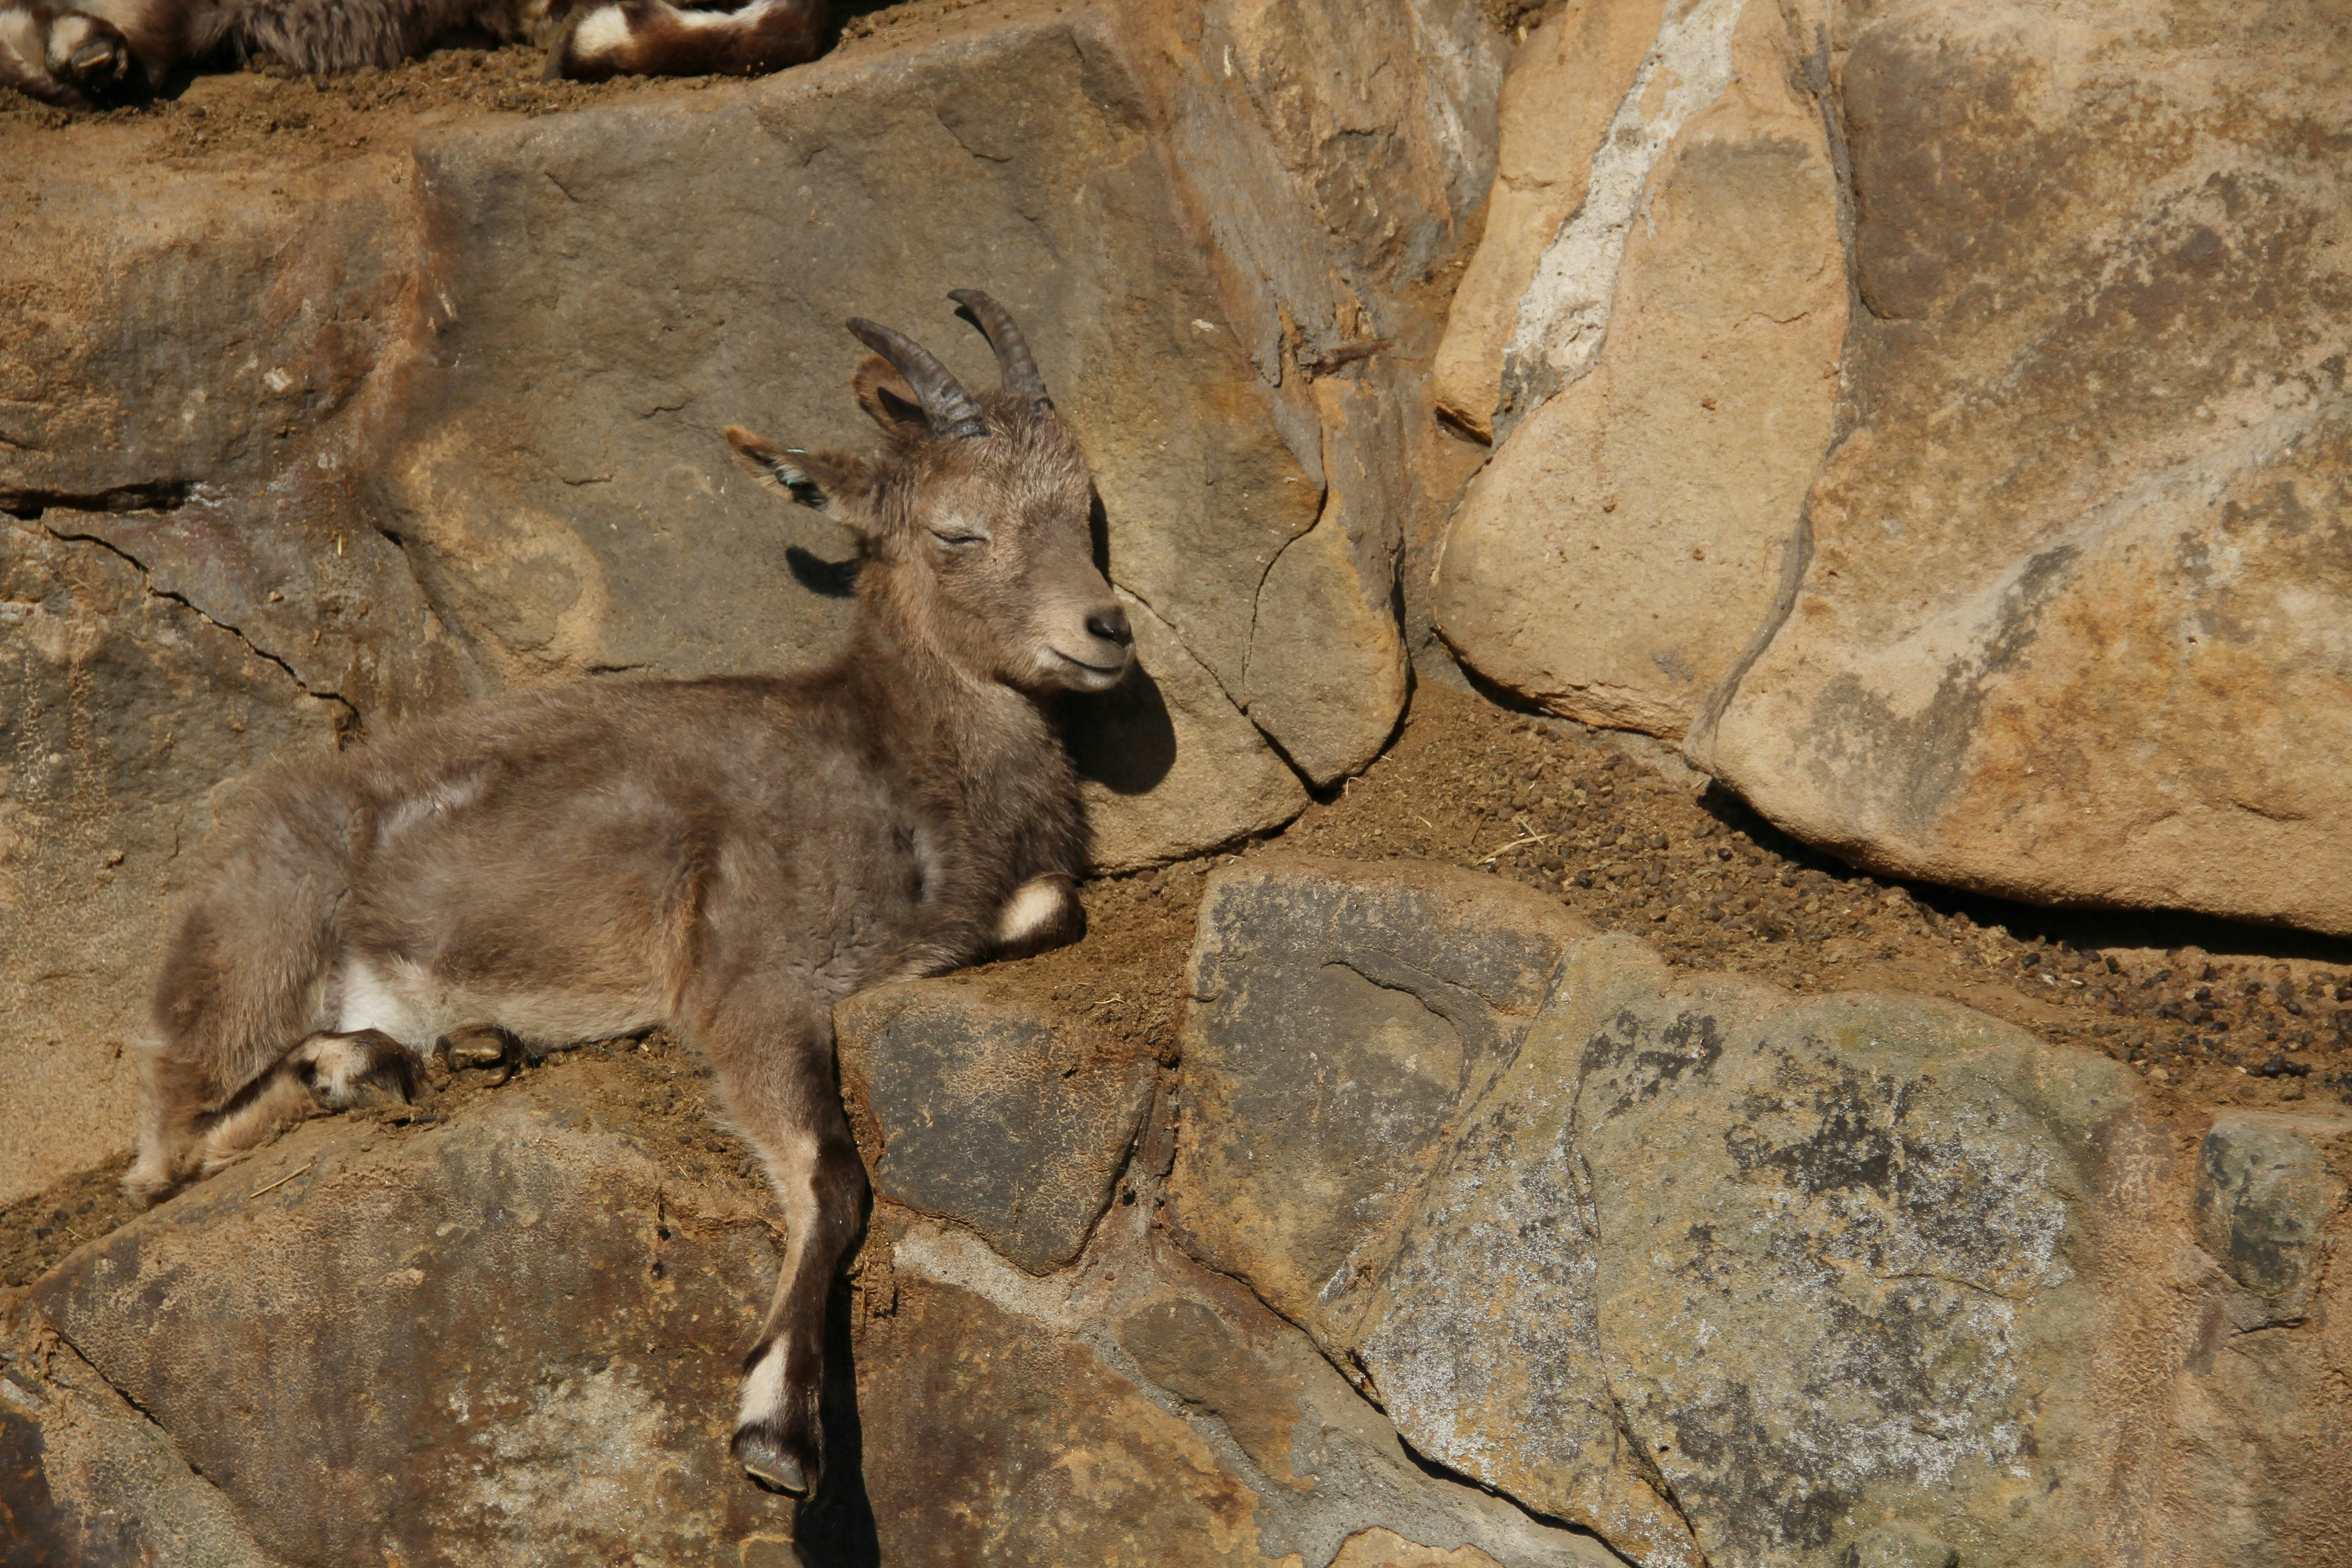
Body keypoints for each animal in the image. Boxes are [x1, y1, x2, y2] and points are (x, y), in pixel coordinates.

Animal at [123, 291, 1133, 1499]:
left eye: (1083, 512)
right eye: (958, 530)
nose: (1108, 630)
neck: (897, 768)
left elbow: (1047, 911)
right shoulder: (747, 975)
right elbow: (831, 1177)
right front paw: (775, 1429)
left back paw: (443, 1049)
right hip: (257, 948)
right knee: (164, 1154)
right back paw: (367, 1064)